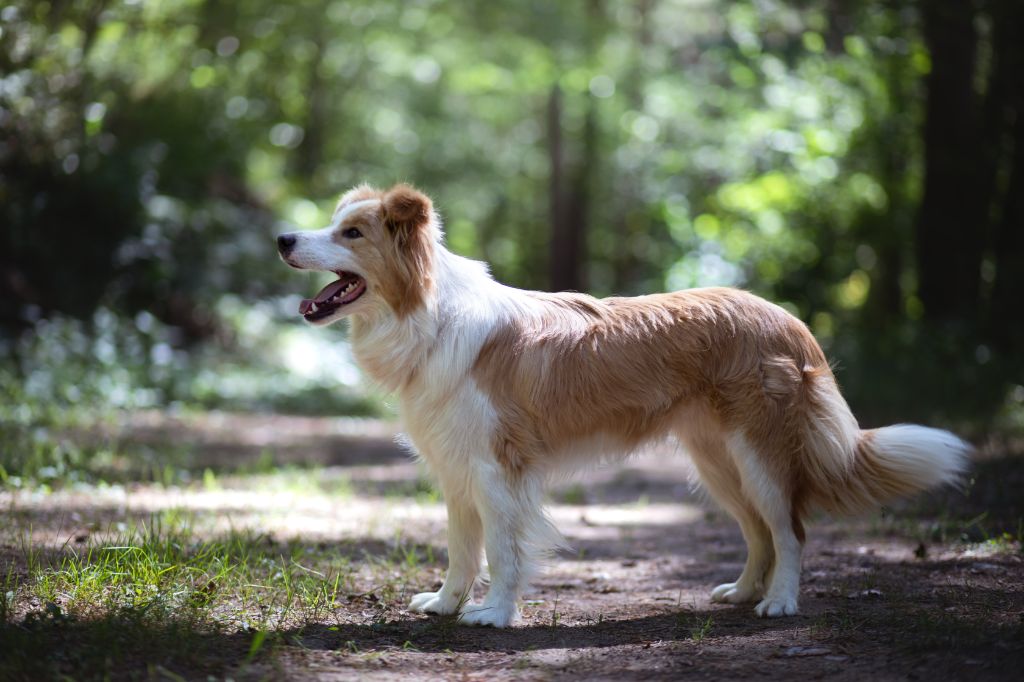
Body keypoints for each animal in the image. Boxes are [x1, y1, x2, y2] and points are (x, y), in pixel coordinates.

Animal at [276, 182, 970, 626]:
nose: (282, 237)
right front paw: (446, 605)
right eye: (334, 223)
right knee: (758, 533)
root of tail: (789, 320)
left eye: (351, 232)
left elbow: (501, 550)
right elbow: (461, 550)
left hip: (760, 455)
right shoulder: (457, 469)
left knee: (790, 530)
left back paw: (780, 604)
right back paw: (743, 593)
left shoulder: (500, 471)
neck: (428, 316)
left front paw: (495, 614)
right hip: (716, 461)